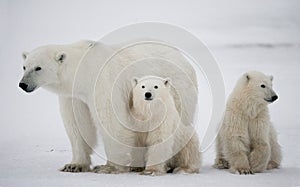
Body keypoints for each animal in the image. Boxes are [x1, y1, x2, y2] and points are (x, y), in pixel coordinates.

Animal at [17, 38, 198, 173]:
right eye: (24, 66)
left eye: (38, 68)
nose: (23, 84)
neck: (82, 71)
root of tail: (182, 56)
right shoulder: (74, 96)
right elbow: (77, 124)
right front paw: (74, 165)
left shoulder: (103, 82)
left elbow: (111, 120)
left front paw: (108, 167)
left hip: (176, 89)